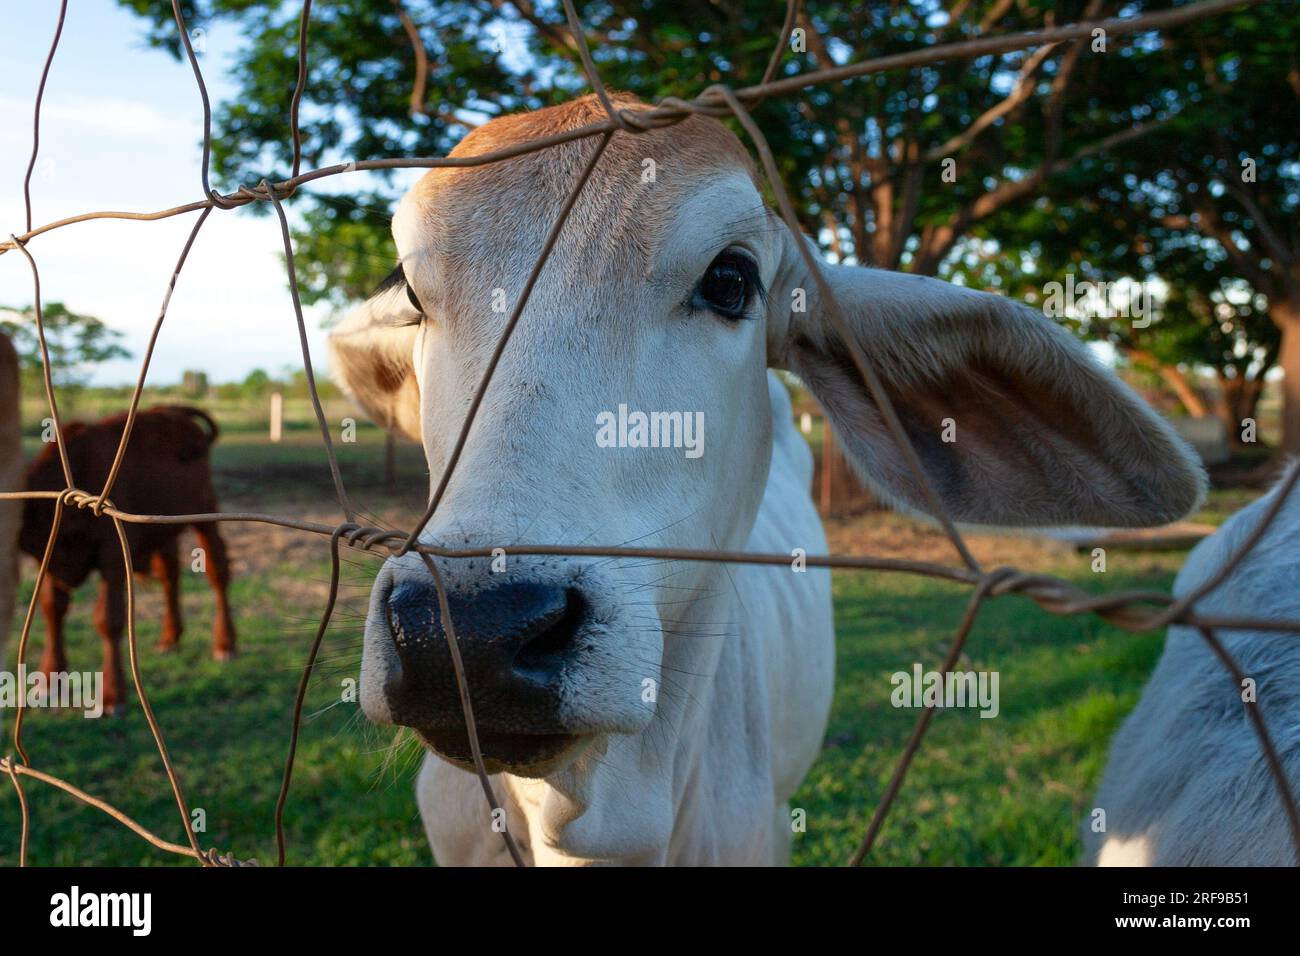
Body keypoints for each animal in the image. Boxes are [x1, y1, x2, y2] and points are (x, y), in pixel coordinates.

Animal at [20, 405, 236, 713]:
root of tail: (172, 410)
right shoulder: (51, 559)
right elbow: (53, 608)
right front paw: (49, 679)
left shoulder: (112, 557)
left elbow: (108, 619)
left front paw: (112, 696)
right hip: (161, 528)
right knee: (170, 575)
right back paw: (170, 638)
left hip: (205, 512)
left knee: (218, 571)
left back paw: (225, 644)